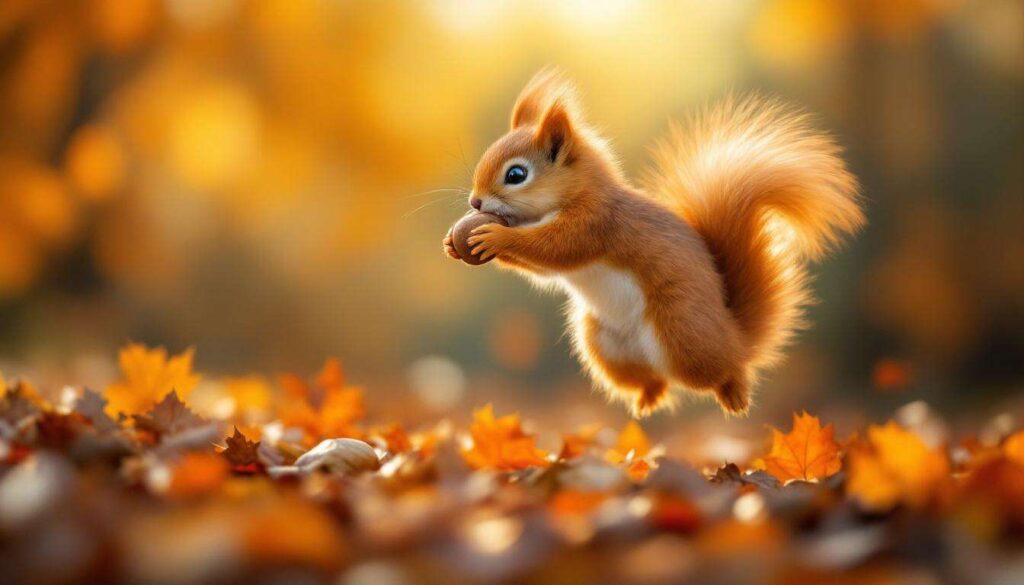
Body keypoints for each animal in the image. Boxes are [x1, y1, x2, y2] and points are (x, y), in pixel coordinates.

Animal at [443, 70, 864, 416]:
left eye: (516, 174)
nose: (475, 203)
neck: (574, 196)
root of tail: (733, 333)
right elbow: (544, 268)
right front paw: (454, 243)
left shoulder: (595, 223)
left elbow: (555, 249)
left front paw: (496, 236)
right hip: (606, 349)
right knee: (655, 379)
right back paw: (648, 397)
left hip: (684, 336)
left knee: (722, 367)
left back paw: (735, 392)